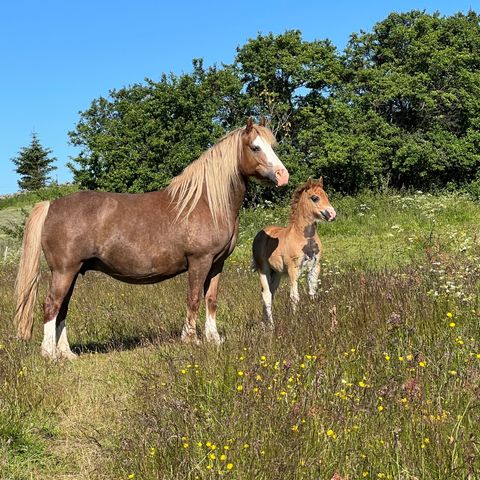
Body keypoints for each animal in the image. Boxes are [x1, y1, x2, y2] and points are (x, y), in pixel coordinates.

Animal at [14, 118, 288, 358]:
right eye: (255, 147)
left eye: (272, 146)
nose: (283, 175)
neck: (205, 202)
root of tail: (52, 205)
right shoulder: (199, 261)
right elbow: (194, 299)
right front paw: (191, 339)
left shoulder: (216, 264)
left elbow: (211, 299)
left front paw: (214, 338)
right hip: (64, 271)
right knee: (51, 305)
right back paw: (49, 354)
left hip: (72, 272)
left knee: (62, 309)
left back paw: (67, 354)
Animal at [253, 177, 336, 330]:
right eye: (315, 198)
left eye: (326, 195)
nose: (332, 214)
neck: (303, 237)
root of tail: (261, 233)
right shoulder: (293, 269)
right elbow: (294, 296)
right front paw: (295, 321)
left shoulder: (315, 267)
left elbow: (312, 293)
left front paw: (314, 316)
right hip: (263, 269)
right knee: (266, 295)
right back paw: (271, 326)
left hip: (277, 273)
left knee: (271, 294)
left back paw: (264, 322)